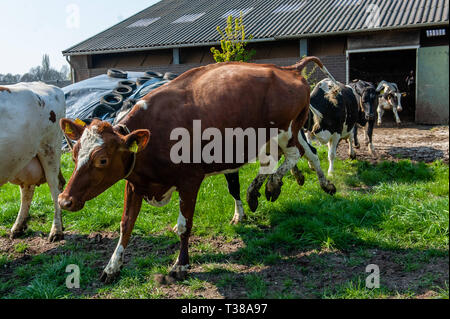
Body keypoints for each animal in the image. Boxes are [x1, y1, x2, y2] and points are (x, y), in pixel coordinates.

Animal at [0, 82, 66, 242]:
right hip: (22, 159)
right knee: (27, 190)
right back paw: (18, 227)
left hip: (50, 149)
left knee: (56, 187)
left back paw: (56, 231)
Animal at [58, 57, 336, 282]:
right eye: (74, 155)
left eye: (102, 160)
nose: (64, 200)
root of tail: (288, 69)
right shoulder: (134, 183)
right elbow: (125, 225)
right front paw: (112, 267)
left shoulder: (190, 180)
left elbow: (185, 225)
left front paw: (180, 265)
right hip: (283, 134)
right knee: (304, 154)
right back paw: (309, 185)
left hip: (284, 131)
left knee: (293, 156)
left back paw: (269, 187)